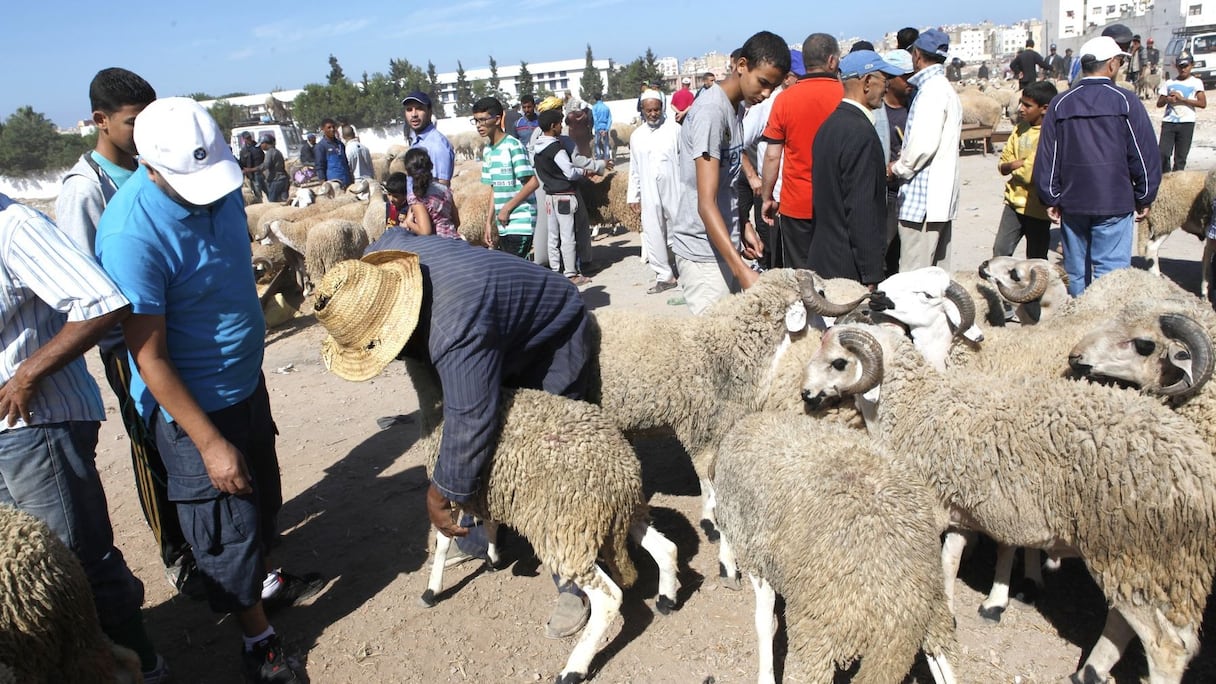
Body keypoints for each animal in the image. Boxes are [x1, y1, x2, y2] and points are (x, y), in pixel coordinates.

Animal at [406, 389, 676, 681]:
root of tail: (621, 474)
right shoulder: (490, 491)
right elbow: (490, 522)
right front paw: (493, 557)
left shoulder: (450, 489)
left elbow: (443, 541)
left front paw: (432, 589)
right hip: (621, 515)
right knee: (666, 548)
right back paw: (667, 599)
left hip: (567, 531)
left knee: (609, 598)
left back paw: (573, 669)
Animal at [802, 321, 1216, 681]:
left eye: (838, 362)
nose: (806, 395)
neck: (913, 406)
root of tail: (1194, 467)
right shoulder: (958, 508)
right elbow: (950, 561)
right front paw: (952, 609)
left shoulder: (930, 506)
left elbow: (938, 564)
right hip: (1146, 563)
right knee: (1125, 622)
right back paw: (1088, 673)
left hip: (1132, 551)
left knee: (1165, 646)